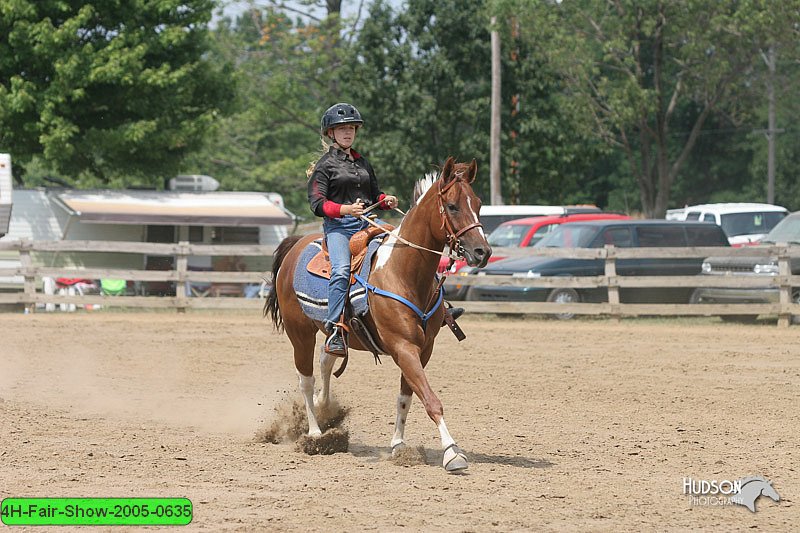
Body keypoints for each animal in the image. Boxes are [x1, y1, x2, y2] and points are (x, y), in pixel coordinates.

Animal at [266, 157, 490, 470]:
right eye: (453, 205)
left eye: (478, 203)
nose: (482, 251)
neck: (403, 271)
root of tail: (295, 244)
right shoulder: (403, 347)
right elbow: (430, 399)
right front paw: (451, 452)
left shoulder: (423, 349)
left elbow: (406, 397)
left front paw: (398, 445)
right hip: (299, 334)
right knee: (306, 380)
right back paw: (315, 432)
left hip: (333, 332)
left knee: (326, 358)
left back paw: (325, 407)